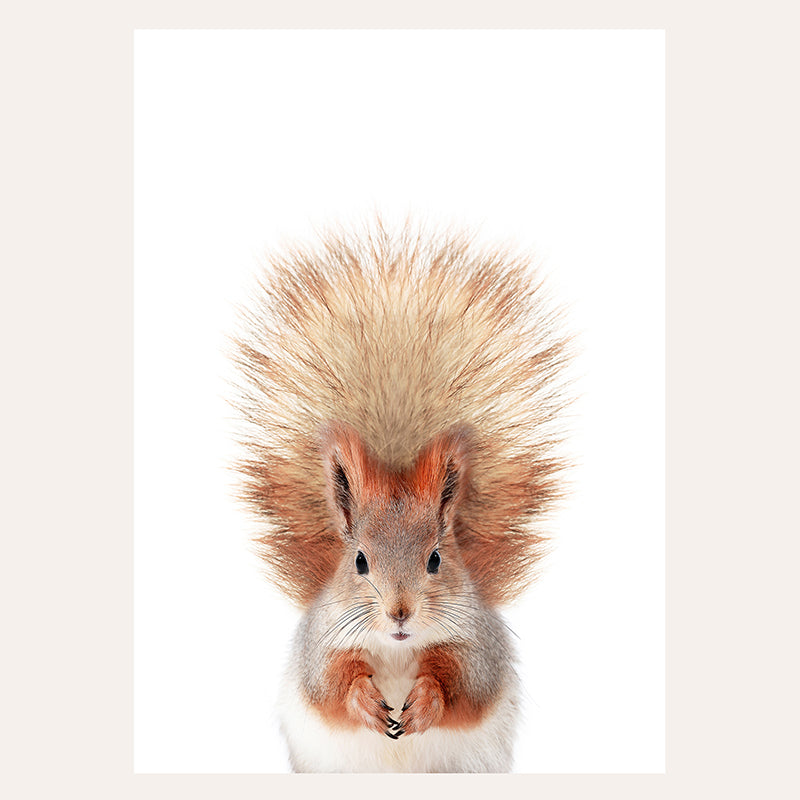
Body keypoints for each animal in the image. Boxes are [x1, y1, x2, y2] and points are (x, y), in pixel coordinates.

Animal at [231, 220, 572, 772]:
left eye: (436, 559)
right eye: (359, 562)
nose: (399, 612)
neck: (394, 650)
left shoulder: (477, 648)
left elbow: (462, 686)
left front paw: (426, 700)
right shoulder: (321, 646)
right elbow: (331, 685)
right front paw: (365, 702)